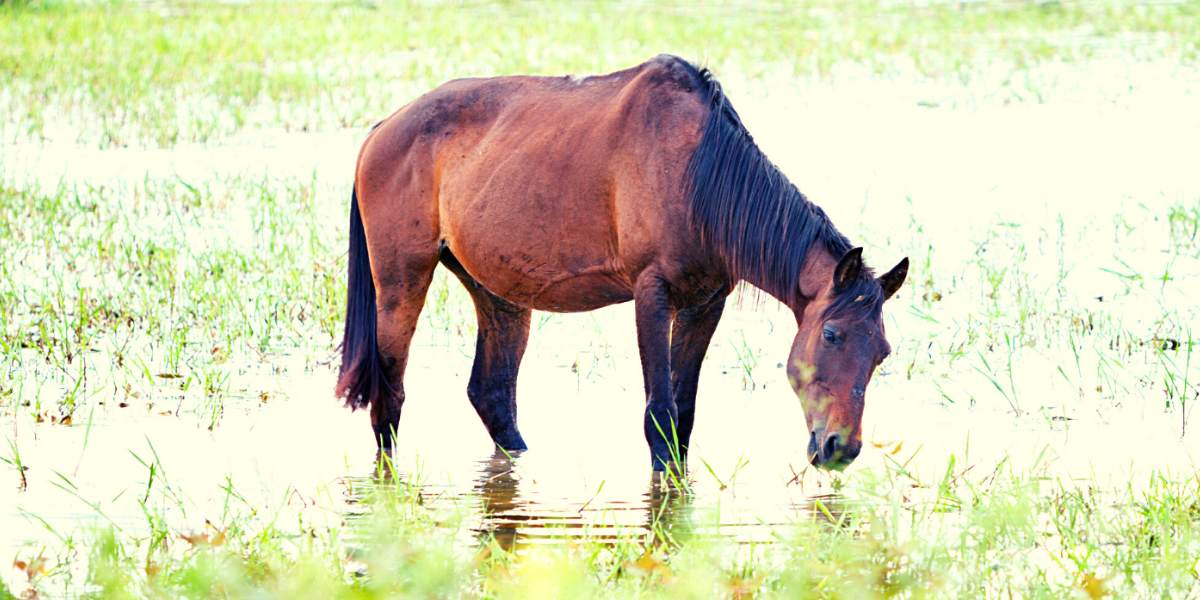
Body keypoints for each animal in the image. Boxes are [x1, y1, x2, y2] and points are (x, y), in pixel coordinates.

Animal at [333, 54, 902, 470]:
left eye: (883, 352)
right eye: (832, 335)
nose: (841, 447)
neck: (698, 173)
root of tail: (381, 131)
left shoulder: (705, 303)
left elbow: (683, 414)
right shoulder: (652, 293)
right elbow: (659, 415)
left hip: (498, 295)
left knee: (491, 394)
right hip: (402, 283)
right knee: (390, 396)